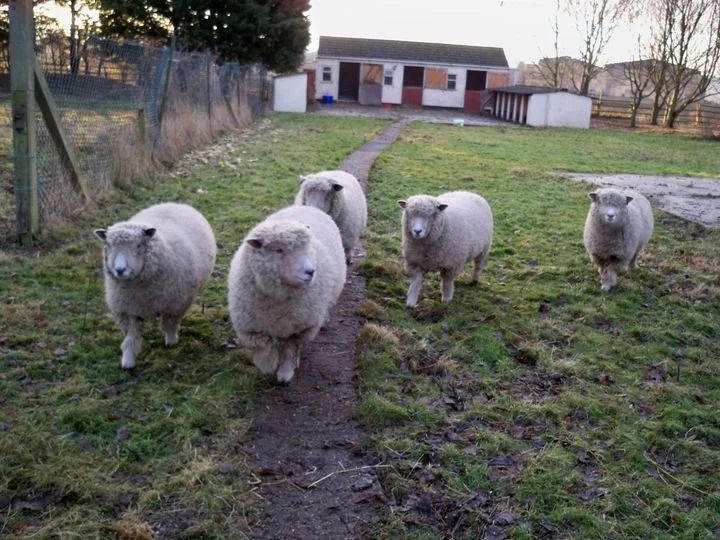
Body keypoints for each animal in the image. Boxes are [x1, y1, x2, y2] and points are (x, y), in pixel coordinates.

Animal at [94, 203, 217, 369]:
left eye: (139, 245)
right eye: (107, 245)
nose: (120, 270)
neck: (139, 291)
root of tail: (174, 203)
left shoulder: (175, 305)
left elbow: (169, 325)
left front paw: (171, 341)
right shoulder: (126, 311)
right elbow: (131, 338)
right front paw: (128, 361)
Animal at [228, 205, 346, 384]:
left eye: (306, 248)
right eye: (279, 250)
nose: (311, 272)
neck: (278, 299)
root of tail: (307, 206)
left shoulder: (300, 329)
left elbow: (289, 350)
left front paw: (285, 373)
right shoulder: (252, 329)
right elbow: (264, 349)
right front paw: (268, 366)